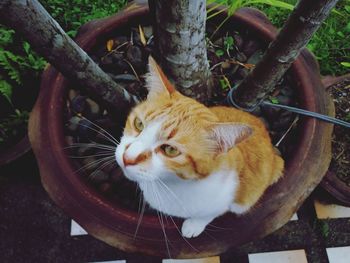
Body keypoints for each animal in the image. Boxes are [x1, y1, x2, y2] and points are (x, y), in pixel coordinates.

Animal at [115, 55, 284, 239]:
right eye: (139, 124)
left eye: (170, 150)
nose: (127, 158)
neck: (172, 185)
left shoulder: (225, 200)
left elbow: (210, 213)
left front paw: (194, 225)